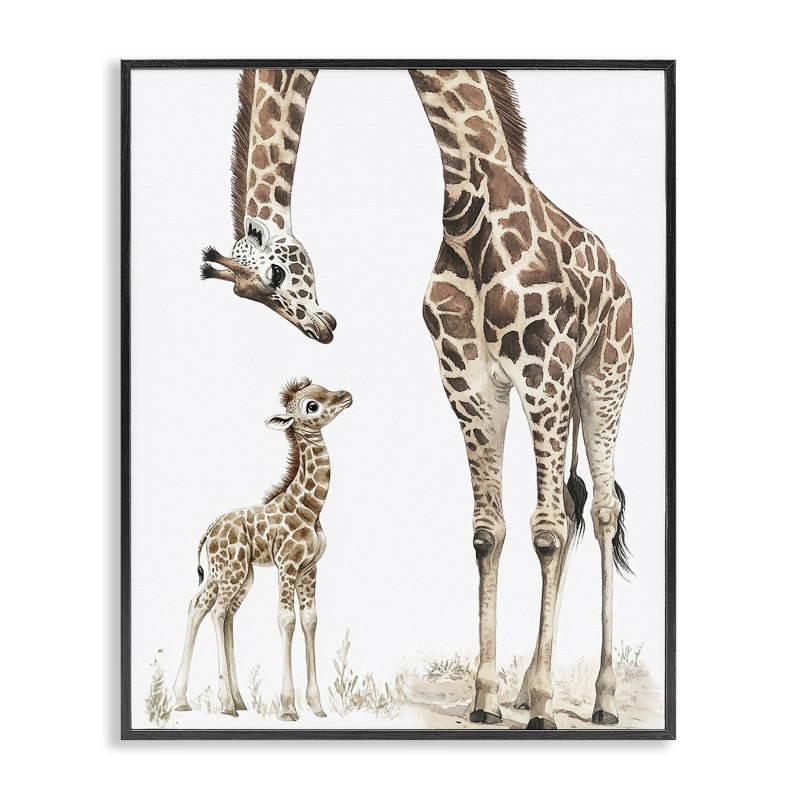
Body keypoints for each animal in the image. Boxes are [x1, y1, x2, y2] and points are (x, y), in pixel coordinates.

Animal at [173, 378, 352, 720]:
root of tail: (210, 529)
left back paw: (206, 700)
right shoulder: (288, 565)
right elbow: (286, 619)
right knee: (215, 609)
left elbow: (310, 619)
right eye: (312, 405)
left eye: (323, 387)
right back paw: (224, 703)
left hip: (237, 574)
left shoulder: (310, 568)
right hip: (231, 571)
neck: (311, 509)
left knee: (208, 607)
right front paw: (288, 707)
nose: (346, 395)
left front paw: (317, 706)